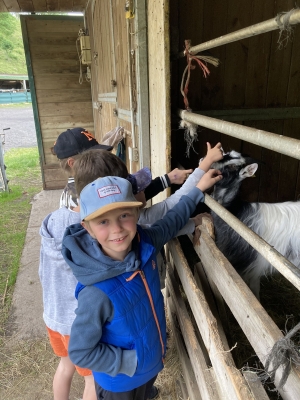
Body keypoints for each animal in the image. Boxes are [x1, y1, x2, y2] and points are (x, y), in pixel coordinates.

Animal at [211, 152, 300, 298]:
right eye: (226, 154)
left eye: (233, 167)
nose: (204, 160)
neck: (234, 212)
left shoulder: (255, 267)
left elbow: (254, 291)